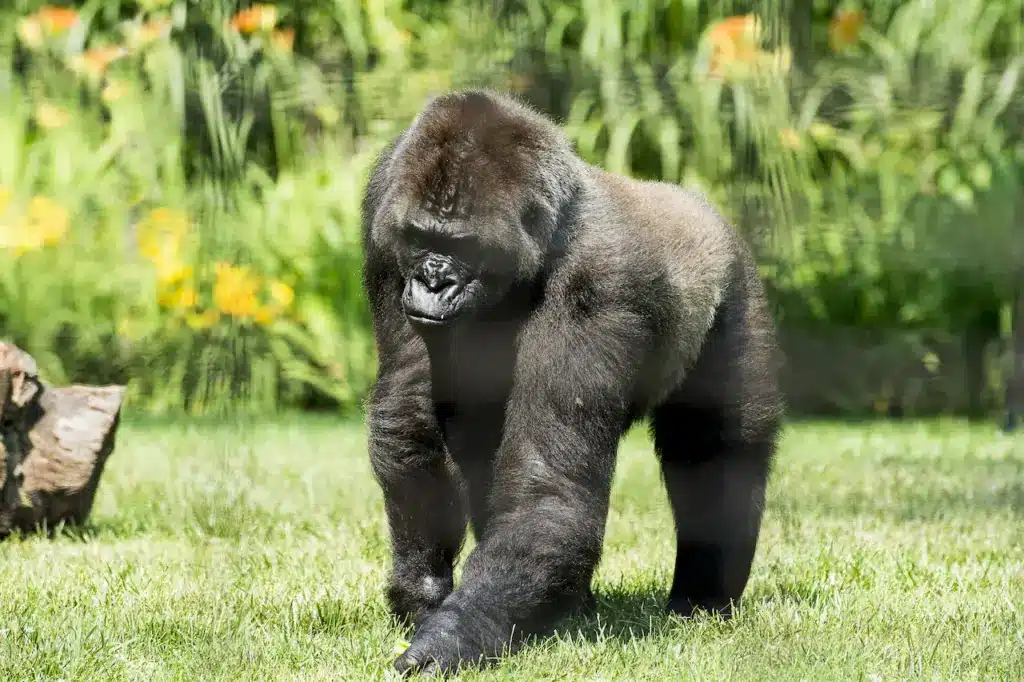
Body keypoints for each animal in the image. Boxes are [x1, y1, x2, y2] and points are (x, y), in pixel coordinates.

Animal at [360, 87, 782, 671]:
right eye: (421, 238)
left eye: (464, 247)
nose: (431, 281)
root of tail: (703, 208)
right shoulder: (384, 218)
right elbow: (409, 419)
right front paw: (422, 591)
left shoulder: (600, 277)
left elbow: (548, 485)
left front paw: (452, 635)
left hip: (738, 287)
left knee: (716, 450)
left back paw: (703, 598)